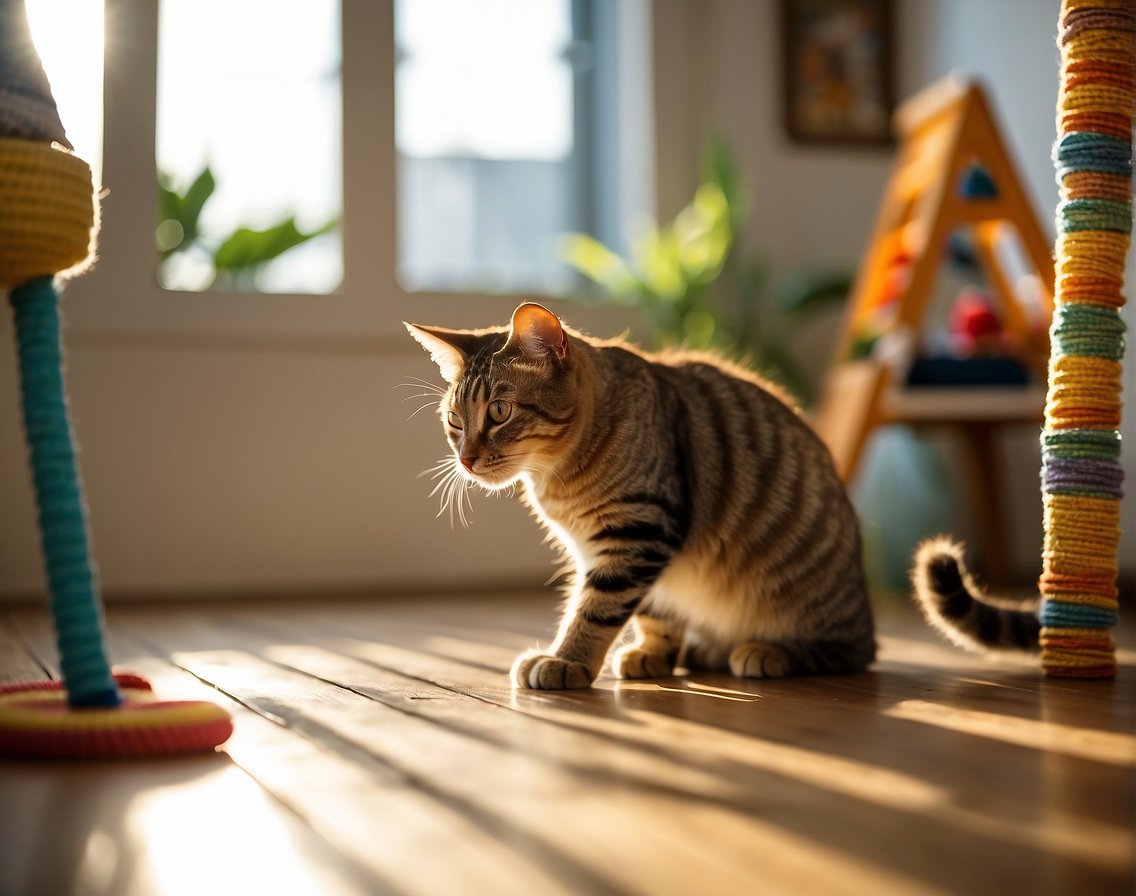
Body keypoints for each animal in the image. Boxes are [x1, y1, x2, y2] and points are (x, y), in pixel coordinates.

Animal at [408, 304, 1040, 690]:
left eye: (499, 412)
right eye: (453, 422)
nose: (466, 459)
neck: (559, 478)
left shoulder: (637, 535)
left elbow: (593, 610)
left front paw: (565, 661)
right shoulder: (640, 551)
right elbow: (654, 612)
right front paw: (652, 654)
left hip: (814, 608)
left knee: (851, 651)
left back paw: (767, 652)